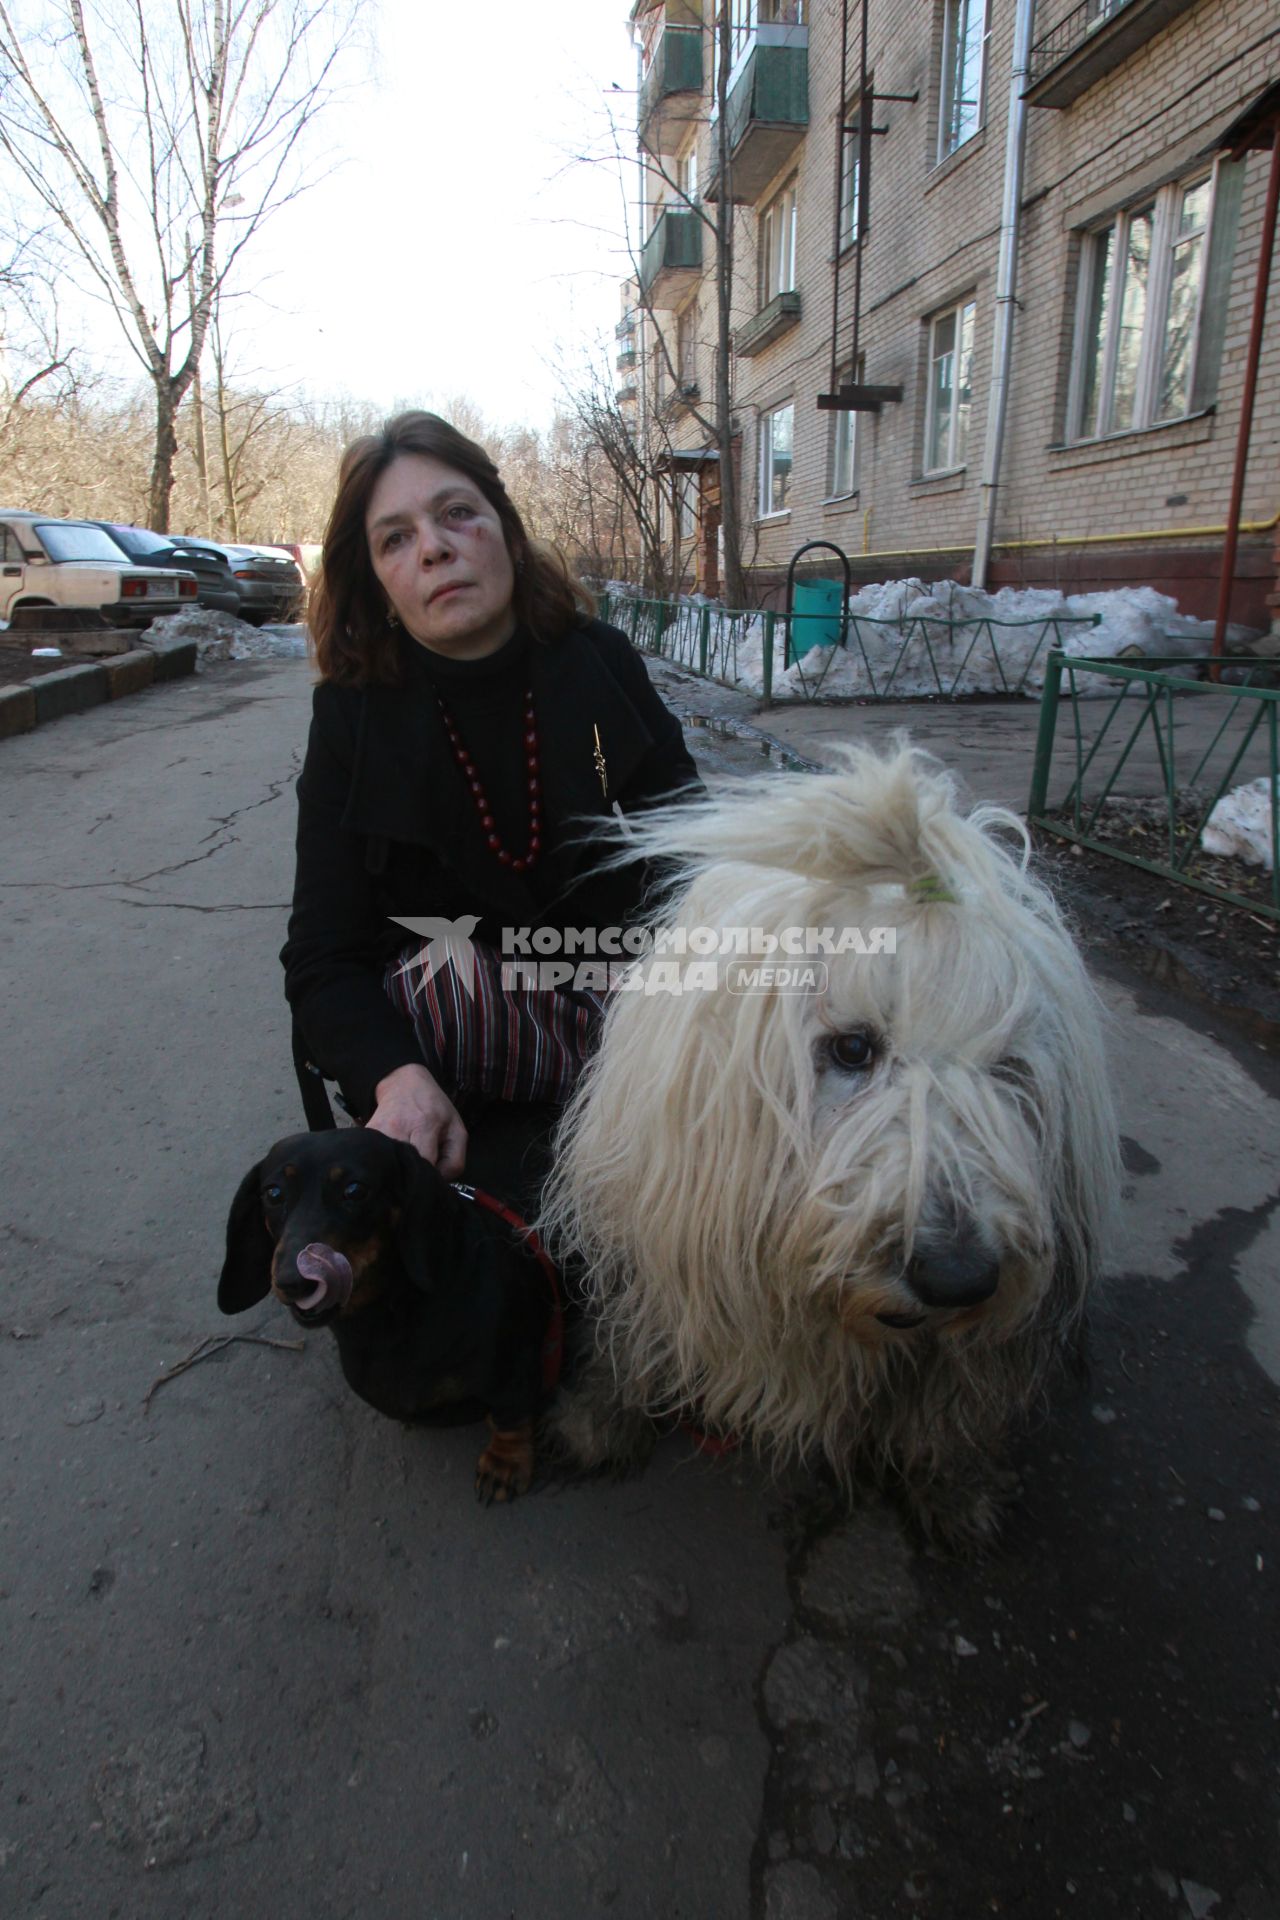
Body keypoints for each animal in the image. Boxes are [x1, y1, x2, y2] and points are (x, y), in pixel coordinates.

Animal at [541, 741, 1120, 1551]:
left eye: (1007, 1068)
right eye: (852, 1048)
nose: (958, 1276)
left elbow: (956, 1395)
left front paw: (954, 1488)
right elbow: (636, 1331)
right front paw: (599, 1419)